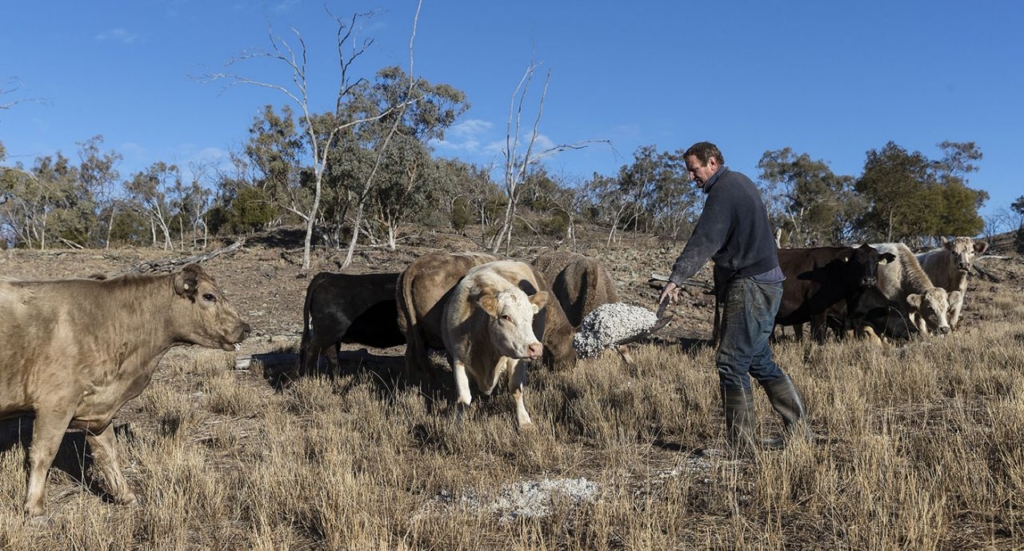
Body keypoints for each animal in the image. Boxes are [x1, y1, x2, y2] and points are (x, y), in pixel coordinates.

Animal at [0, 264, 249, 516]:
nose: (245, 328)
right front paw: (34, 506)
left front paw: (126, 496)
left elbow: (108, 453)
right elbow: (43, 453)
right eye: (209, 296)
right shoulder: (56, 402)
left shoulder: (98, 409)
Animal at [442, 259, 548, 426]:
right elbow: (463, 399)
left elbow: (516, 388)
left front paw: (524, 421)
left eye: (531, 316)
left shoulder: (514, 356)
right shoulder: (458, 359)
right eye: (506, 317)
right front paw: (458, 425)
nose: (535, 348)